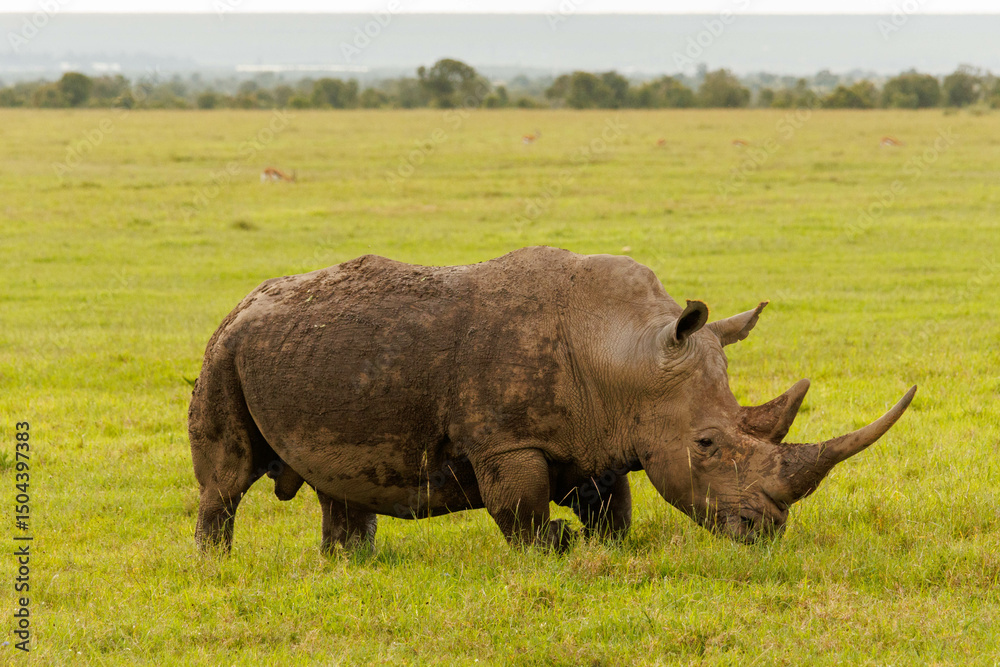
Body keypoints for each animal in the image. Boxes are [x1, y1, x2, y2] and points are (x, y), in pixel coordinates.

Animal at [189, 246, 915, 553]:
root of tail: (242, 304)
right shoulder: (505, 441)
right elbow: (522, 510)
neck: (625, 350)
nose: (766, 530)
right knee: (226, 477)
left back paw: (351, 563)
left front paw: (603, 547)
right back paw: (218, 564)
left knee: (336, 486)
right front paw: (558, 547)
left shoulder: (603, 435)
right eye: (707, 445)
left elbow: (615, 511)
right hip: (224, 351)